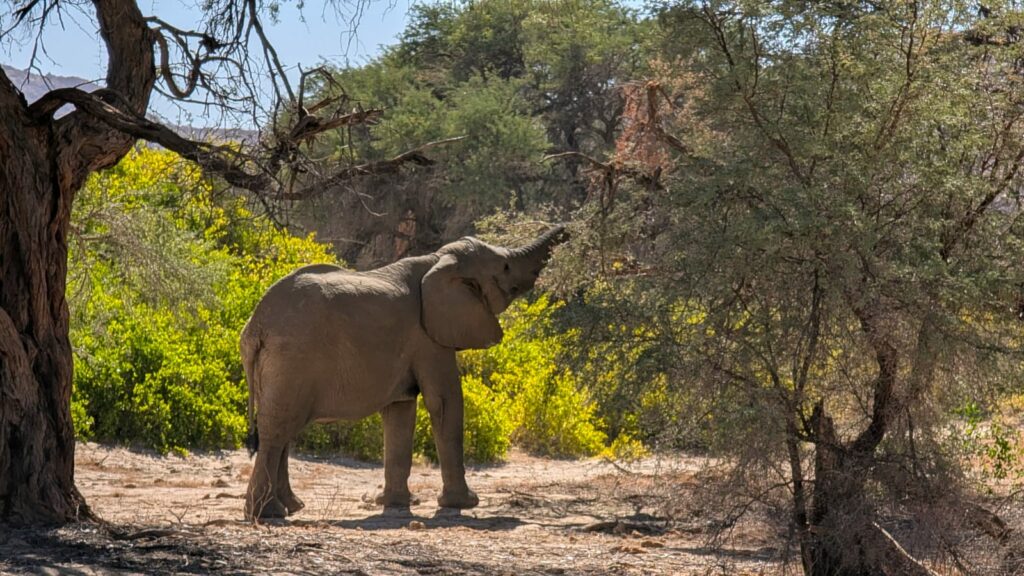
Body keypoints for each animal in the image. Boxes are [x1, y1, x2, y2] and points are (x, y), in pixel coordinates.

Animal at [239, 223, 569, 516]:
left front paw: (395, 503)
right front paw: (464, 504)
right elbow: (445, 402)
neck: (438, 260)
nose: (569, 231)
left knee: (281, 429)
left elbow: (400, 410)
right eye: (505, 266)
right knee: (277, 430)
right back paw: (269, 513)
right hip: (291, 359)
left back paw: (291, 508)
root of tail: (255, 327)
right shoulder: (428, 337)